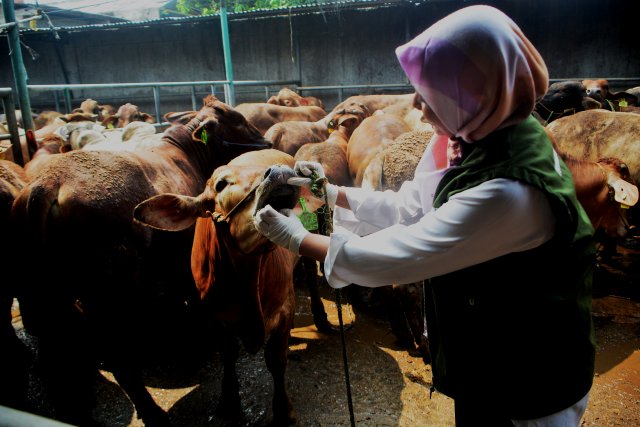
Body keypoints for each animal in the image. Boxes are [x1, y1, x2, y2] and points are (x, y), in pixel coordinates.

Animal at [11, 95, 272, 426]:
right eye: (236, 119)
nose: (266, 142)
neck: (184, 153)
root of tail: (47, 184)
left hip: (42, 292)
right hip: (107, 294)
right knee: (118, 359)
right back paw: (152, 413)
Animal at [133, 149, 300, 425]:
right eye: (221, 184)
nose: (280, 171)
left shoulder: (285, 307)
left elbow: (276, 360)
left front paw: (283, 410)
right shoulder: (215, 316)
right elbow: (228, 356)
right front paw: (229, 401)